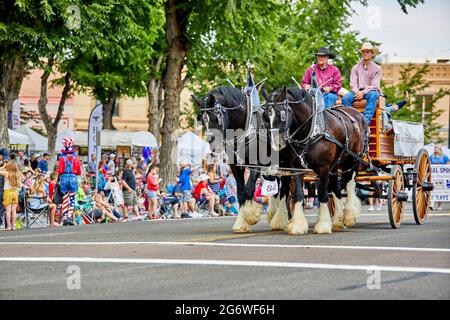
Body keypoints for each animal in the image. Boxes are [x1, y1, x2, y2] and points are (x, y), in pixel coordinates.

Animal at [266, 86, 368, 234]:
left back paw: (349, 216)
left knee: (350, 185)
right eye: (266, 116)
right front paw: (298, 225)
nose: (277, 144)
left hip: (353, 162)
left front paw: (323, 224)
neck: (311, 130)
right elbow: (298, 194)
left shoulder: (324, 168)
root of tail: (358, 115)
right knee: (337, 189)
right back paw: (337, 221)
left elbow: (322, 194)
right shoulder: (296, 167)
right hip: (334, 167)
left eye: (282, 113)